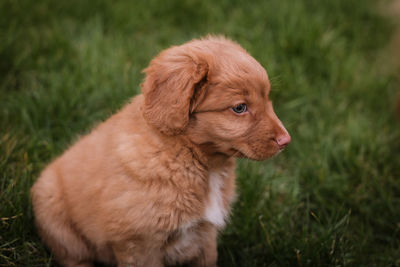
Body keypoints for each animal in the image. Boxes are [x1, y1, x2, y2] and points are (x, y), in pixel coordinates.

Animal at [29, 36, 290, 267]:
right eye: (239, 108)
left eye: (267, 98)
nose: (286, 140)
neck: (189, 156)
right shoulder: (139, 245)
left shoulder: (205, 238)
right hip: (55, 219)